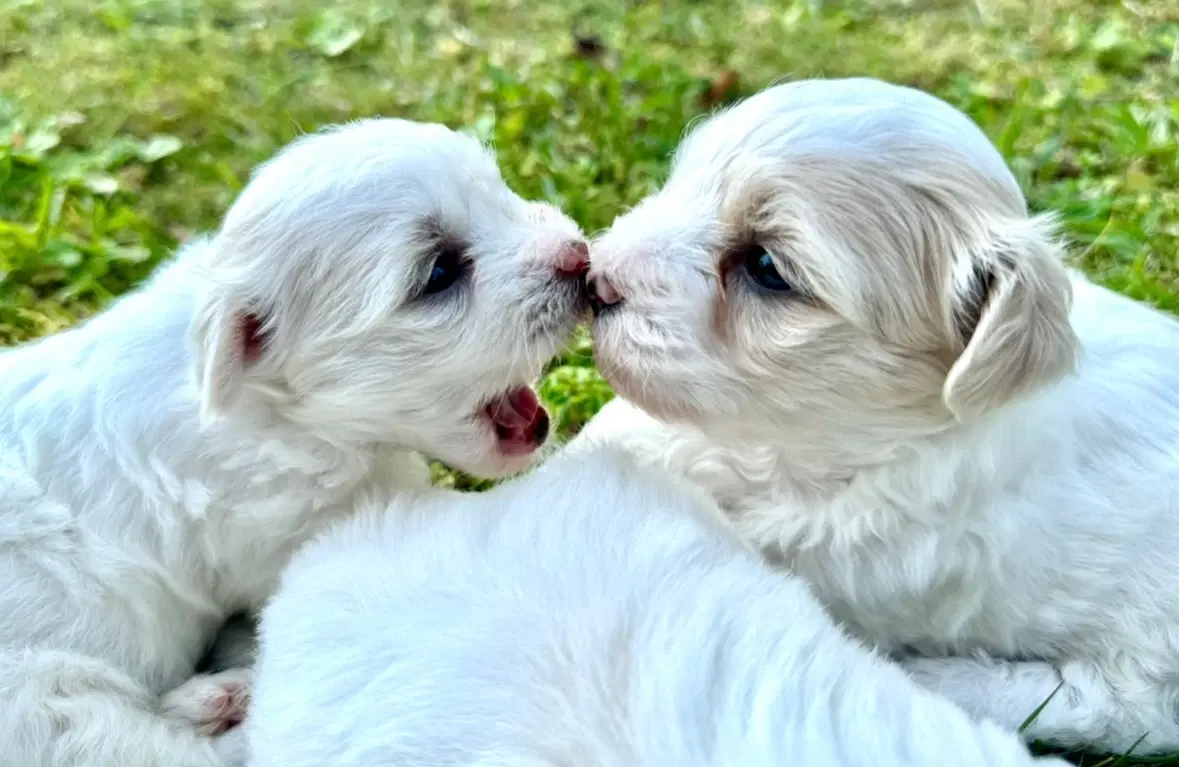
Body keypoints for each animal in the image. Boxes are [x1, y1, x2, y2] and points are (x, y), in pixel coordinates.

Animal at [0, 115, 589, 767]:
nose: (581, 256)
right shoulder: (294, 526)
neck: (276, 412)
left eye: (501, 193)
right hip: (50, 702)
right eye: (439, 273)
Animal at [575, 77, 1179, 754]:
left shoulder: (847, 543)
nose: (594, 277)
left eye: (766, 268)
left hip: (1139, 661)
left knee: (1107, 709)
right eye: (679, 185)